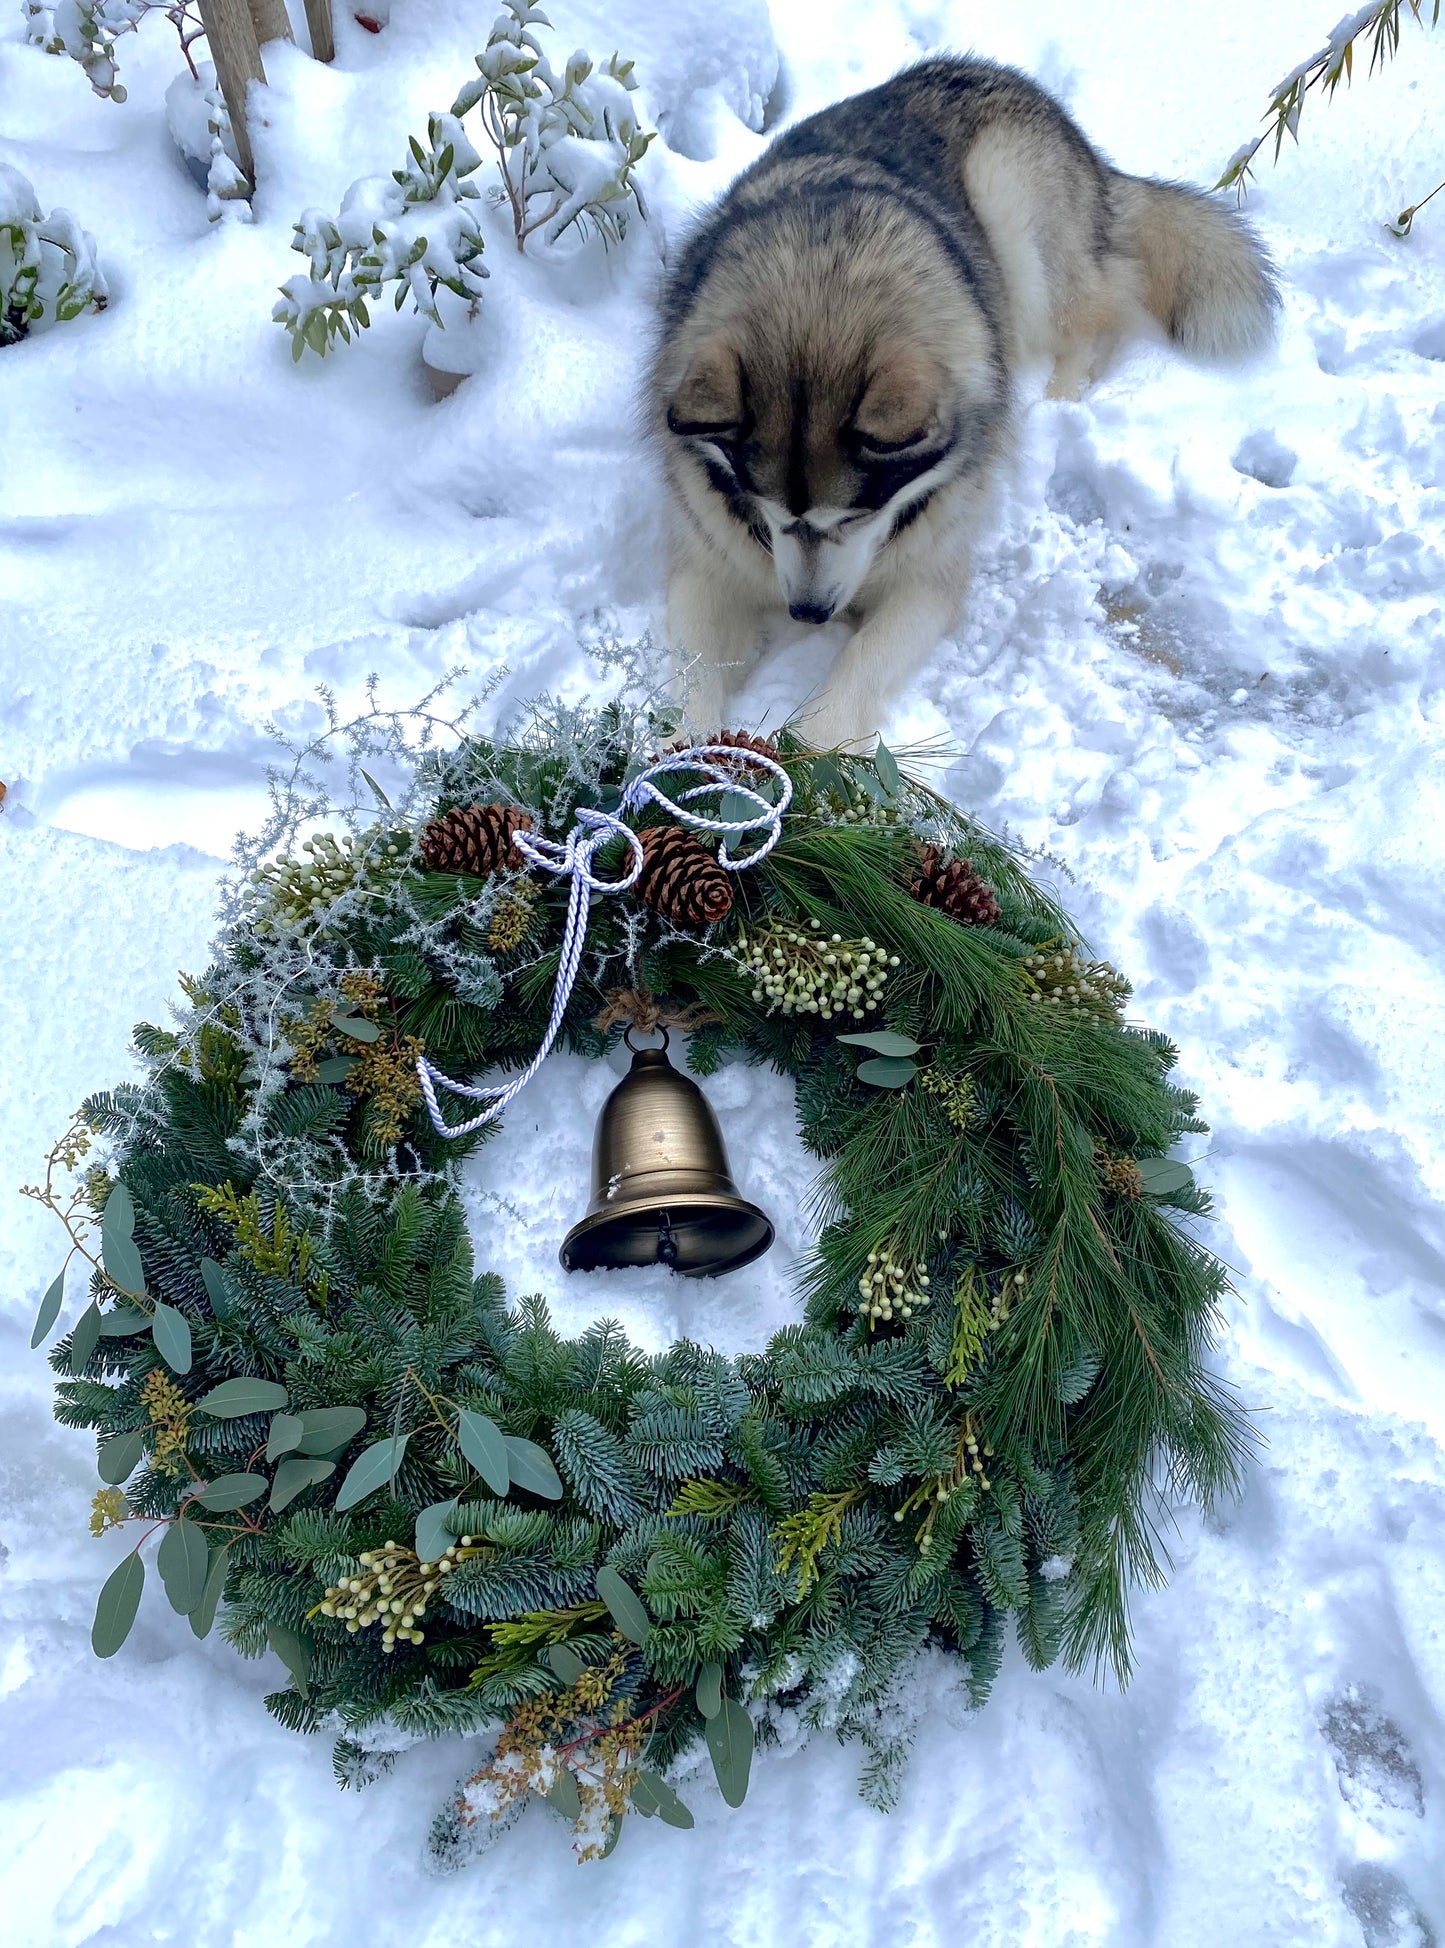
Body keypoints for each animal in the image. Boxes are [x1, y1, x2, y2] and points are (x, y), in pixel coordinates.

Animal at [650, 56, 1285, 748]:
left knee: (1093, 316)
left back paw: (1054, 404)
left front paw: (819, 746)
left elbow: (866, 657)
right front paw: (679, 755)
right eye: (767, 510)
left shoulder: (931, 577)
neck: (822, 291)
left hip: (1010, 204)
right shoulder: (708, 562)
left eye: (852, 518)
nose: (808, 613)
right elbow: (690, 666)